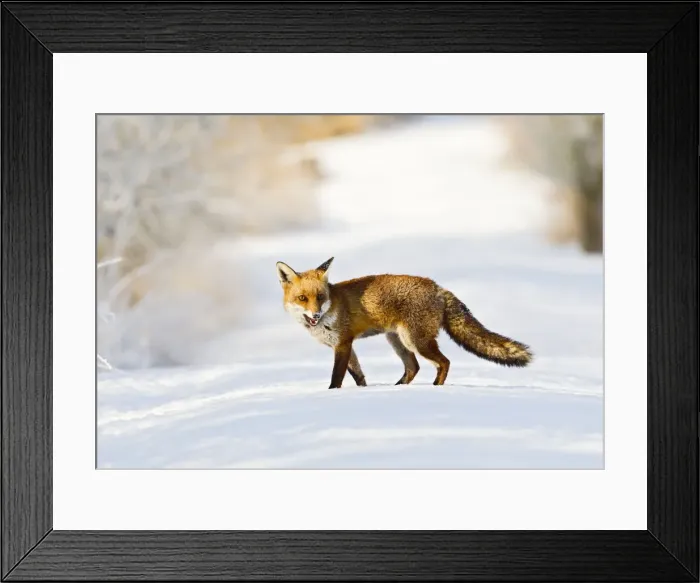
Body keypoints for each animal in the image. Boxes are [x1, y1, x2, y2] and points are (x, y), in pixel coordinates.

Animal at [276, 257, 533, 389]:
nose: (315, 315)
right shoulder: (344, 345)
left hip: (415, 340)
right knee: (413, 367)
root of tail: (439, 288)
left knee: (444, 362)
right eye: (302, 298)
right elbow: (358, 376)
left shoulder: (343, 344)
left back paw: (435, 388)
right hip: (397, 340)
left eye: (320, 297)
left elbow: (336, 377)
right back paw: (398, 388)